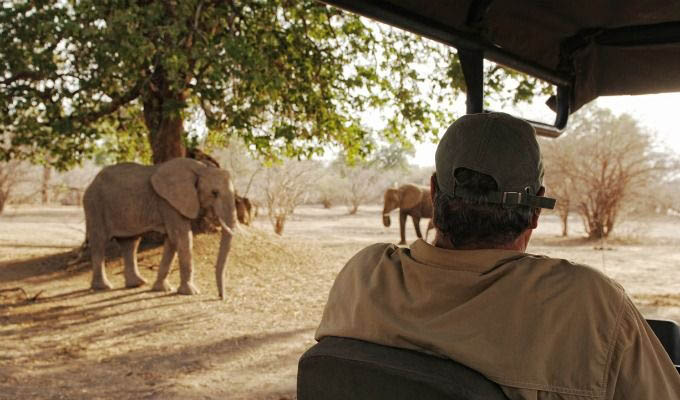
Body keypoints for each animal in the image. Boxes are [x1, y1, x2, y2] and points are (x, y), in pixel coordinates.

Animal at [83, 158, 238, 298]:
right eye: (214, 193)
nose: (221, 296)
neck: (201, 168)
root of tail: (91, 183)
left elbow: (172, 240)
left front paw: (162, 289)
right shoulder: (168, 203)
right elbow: (182, 238)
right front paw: (191, 293)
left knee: (130, 243)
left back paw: (138, 284)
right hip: (94, 205)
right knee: (99, 242)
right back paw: (103, 287)